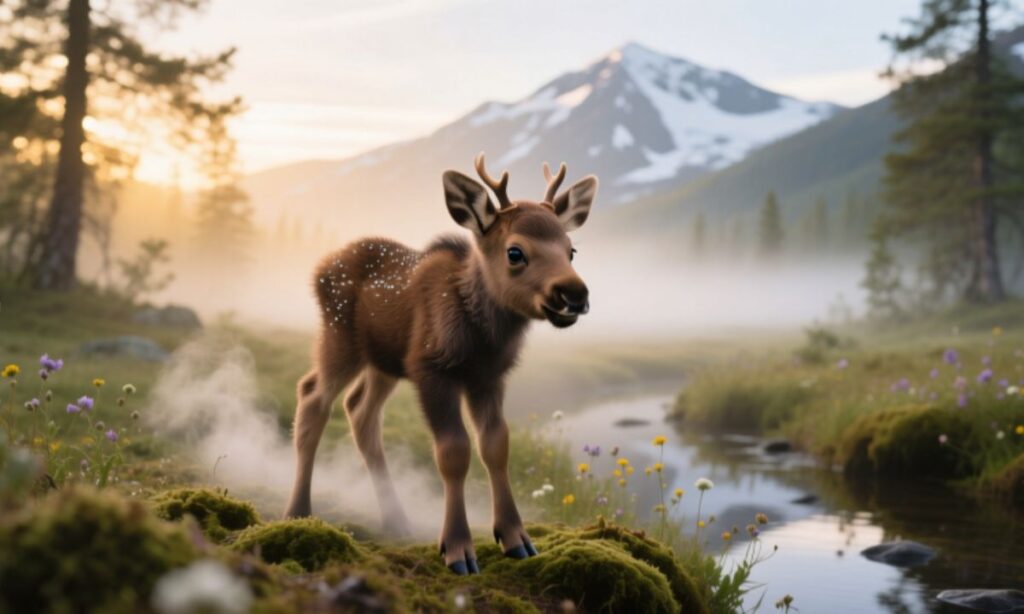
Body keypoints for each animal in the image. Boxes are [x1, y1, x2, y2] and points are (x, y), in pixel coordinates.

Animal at [284, 152, 597, 575]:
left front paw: (516, 539)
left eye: (571, 250)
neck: (483, 340)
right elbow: (453, 452)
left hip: (384, 363)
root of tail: (319, 269)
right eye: (515, 251)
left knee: (360, 410)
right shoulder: (431, 368)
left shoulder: (488, 378)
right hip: (339, 339)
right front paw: (457, 549)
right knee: (313, 395)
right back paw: (298, 512)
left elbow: (496, 445)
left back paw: (396, 519)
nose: (574, 293)